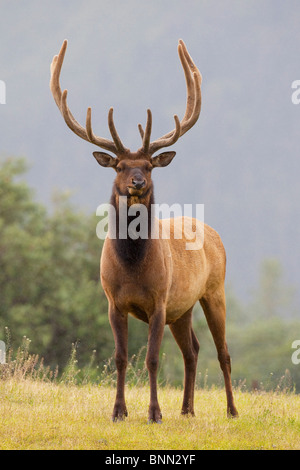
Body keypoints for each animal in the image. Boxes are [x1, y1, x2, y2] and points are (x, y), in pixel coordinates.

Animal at [49, 39, 239, 422]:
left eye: (149, 166)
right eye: (120, 166)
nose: (137, 182)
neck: (133, 268)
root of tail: (214, 233)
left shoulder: (159, 301)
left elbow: (151, 359)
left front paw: (154, 413)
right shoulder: (113, 302)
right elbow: (121, 359)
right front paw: (119, 411)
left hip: (214, 290)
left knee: (223, 351)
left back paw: (230, 410)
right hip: (183, 308)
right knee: (193, 350)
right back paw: (187, 410)